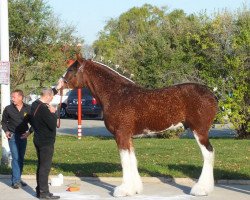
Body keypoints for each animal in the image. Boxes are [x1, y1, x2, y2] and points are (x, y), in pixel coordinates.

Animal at [58, 53, 217, 197]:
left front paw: (123, 190)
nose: (58, 85)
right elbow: (132, 159)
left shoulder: (121, 135)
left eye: (71, 69)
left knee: (208, 153)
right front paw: (134, 189)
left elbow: (125, 161)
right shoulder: (128, 137)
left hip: (199, 131)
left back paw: (201, 189)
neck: (116, 94)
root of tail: (211, 94)